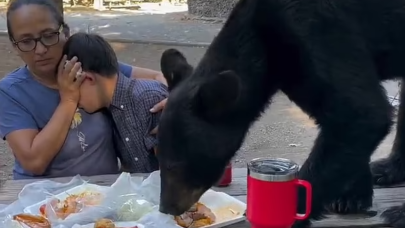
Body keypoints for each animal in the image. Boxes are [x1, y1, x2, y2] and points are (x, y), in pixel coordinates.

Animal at [155, 0, 405, 226]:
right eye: (159, 156)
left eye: (174, 165)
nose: (166, 207)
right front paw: (352, 196)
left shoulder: (317, 31)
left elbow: (360, 113)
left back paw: (397, 212)